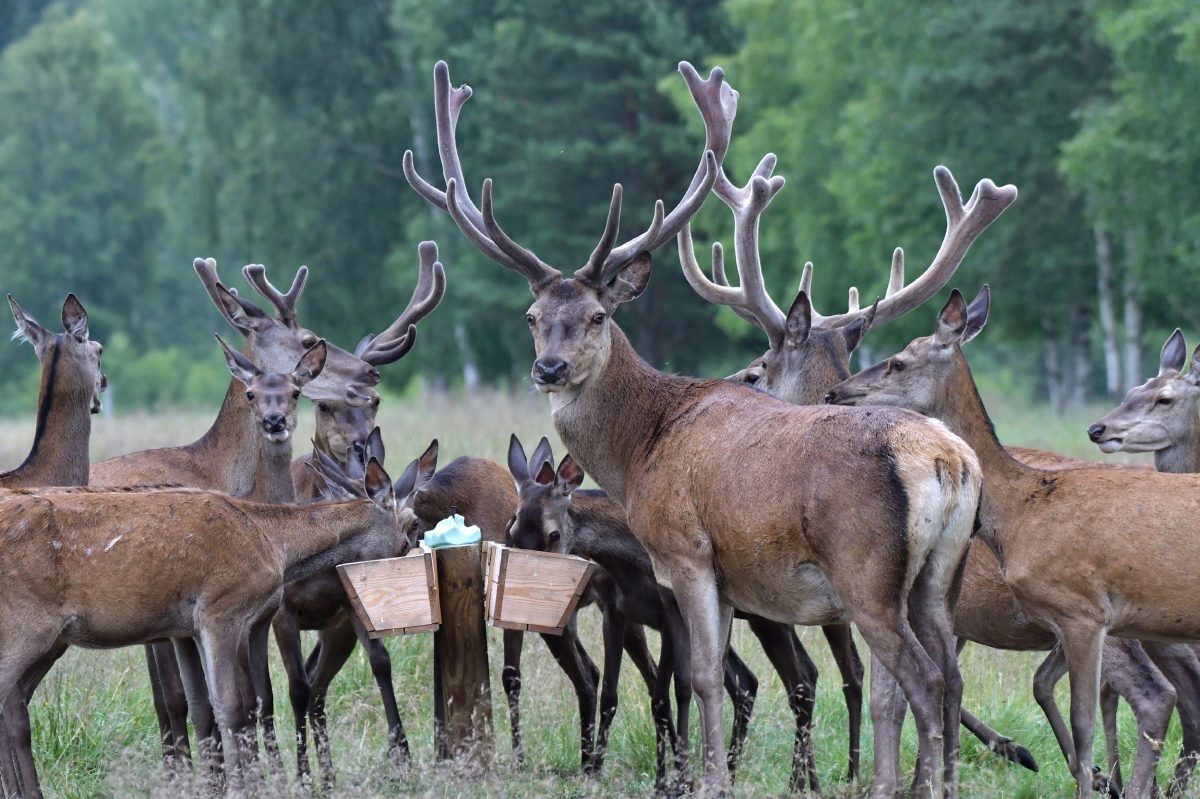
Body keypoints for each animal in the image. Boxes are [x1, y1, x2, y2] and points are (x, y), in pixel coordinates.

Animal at [0, 453, 416, 795]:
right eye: (408, 533)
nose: (407, 565)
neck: (273, 544)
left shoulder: (188, 628)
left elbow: (207, 705)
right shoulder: (222, 609)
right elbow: (230, 706)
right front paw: (240, 789)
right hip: (27, 626)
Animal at [405, 59, 985, 798]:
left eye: (598, 315)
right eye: (532, 317)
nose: (549, 367)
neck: (640, 450)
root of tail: (950, 461)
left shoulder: (686, 551)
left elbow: (703, 677)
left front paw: (706, 781)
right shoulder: (730, 582)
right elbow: (714, 680)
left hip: (867, 575)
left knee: (920, 680)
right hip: (937, 580)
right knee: (943, 678)